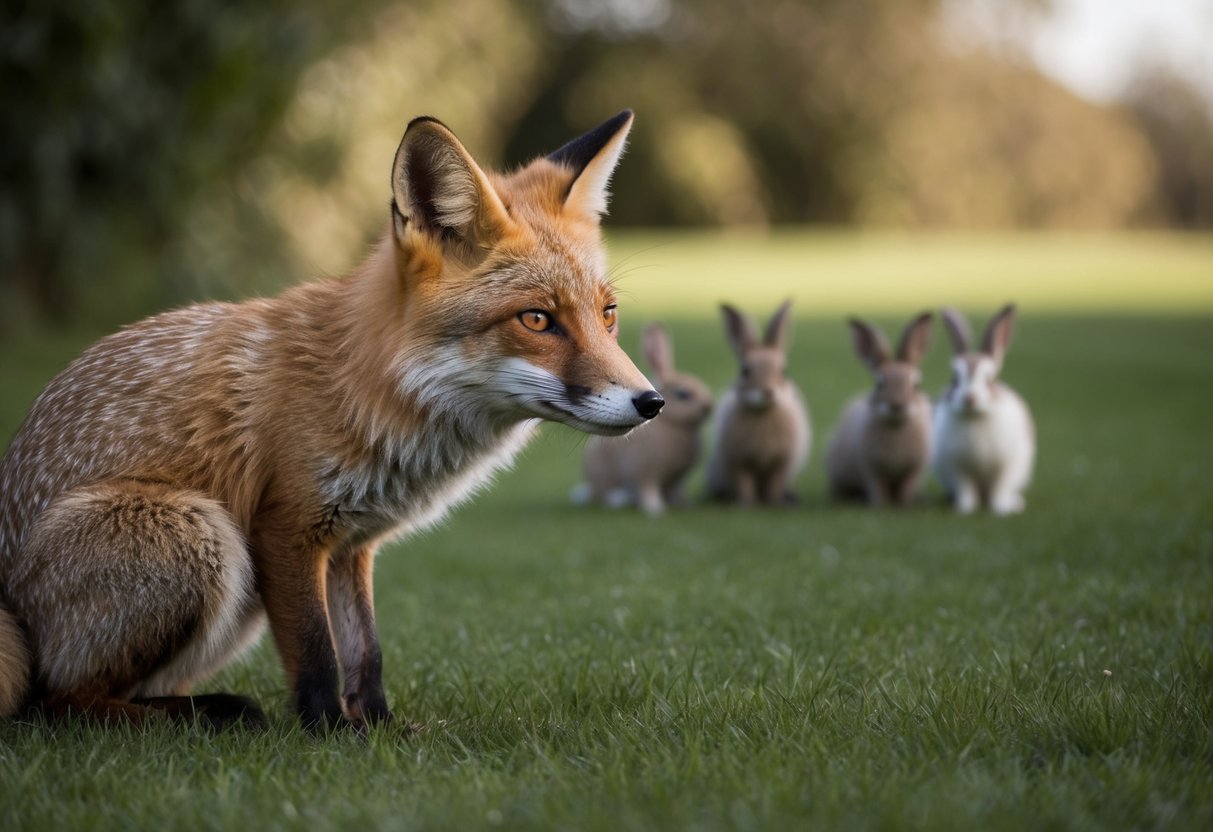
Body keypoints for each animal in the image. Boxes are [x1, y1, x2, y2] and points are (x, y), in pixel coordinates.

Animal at [0, 110, 663, 731]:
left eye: (608, 314)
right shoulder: (287, 528)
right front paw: (326, 733)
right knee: (61, 701)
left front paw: (379, 727)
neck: (369, 386)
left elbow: (364, 652)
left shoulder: (353, 542)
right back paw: (210, 715)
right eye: (536, 320)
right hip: (200, 532)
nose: (651, 402)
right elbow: (316, 652)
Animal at [573, 324, 714, 515]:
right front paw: (656, 510)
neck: (672, 423)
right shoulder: (644, 472)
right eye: (683, 394)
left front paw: (685, 505)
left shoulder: (676, 481)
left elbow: (676, 493)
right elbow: (647, 490)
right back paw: (619, 499)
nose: (709, 407)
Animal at [706, 301, 811, 506]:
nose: (767, 392)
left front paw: (776, 502)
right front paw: (747, 504)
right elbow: (744, 482)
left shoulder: (782, 461)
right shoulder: (739, 461)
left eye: (784, 371)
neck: (764, 411)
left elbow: (776, 483)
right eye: (745, 371)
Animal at [826, 311, 935, 506]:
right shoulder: (871, 469)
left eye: (917, 384)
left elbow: (906, 488)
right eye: (879, 384)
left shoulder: (914, 469)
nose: (897, 405)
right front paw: (880, 504)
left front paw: (905, 504)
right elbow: (878, 488)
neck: (897, 426)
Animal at [932, 304, 1036, 515]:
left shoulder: (1006, 466)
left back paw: (1016, 502)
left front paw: (1002, 510)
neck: (975, 417)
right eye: (954, 378)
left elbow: (999, 490)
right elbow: (966, 489)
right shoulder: (957, 467)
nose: (969, 398)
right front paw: (964, 509)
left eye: (989, 379)